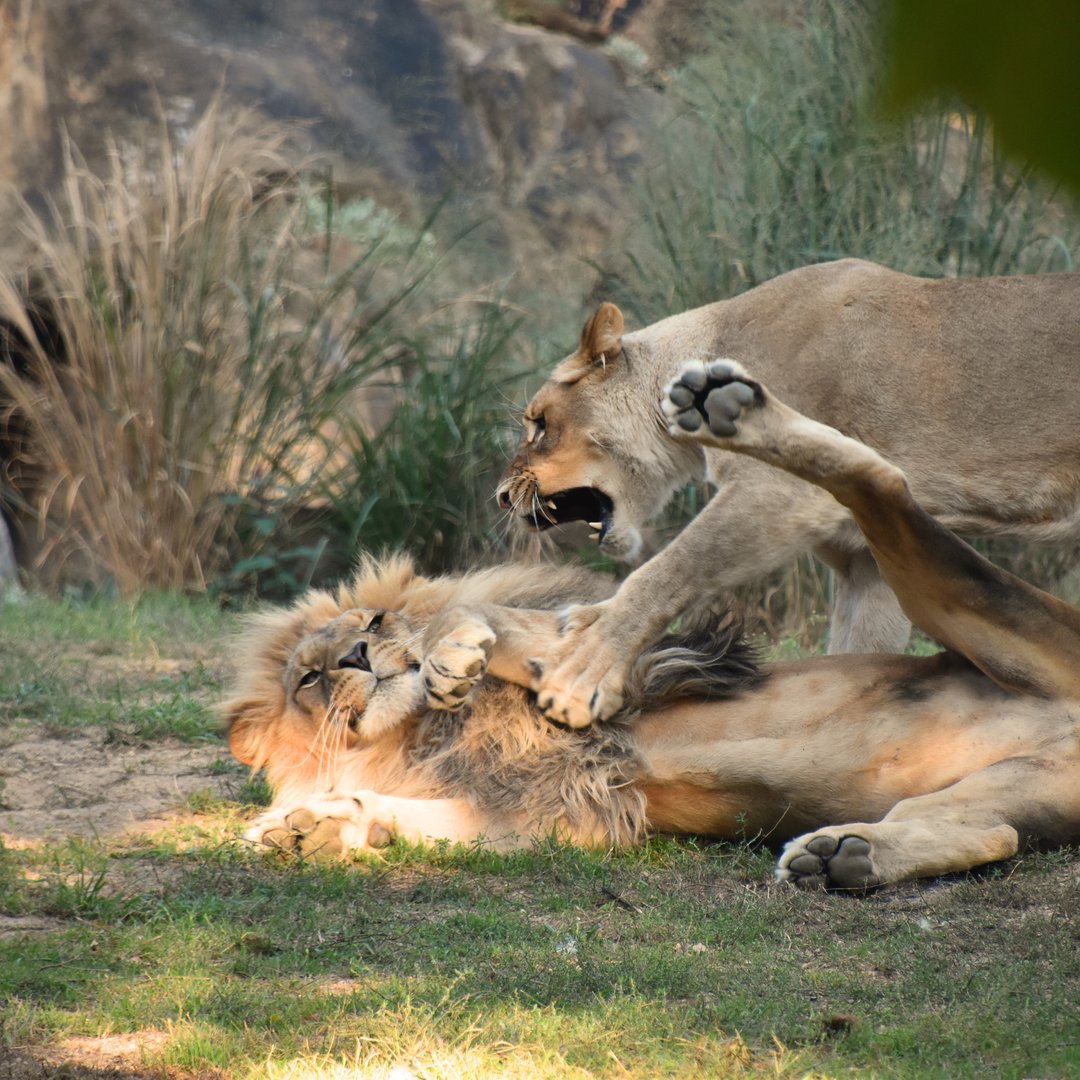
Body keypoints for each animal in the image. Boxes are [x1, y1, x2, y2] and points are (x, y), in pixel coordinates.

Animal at [227, 363, 1080, 888]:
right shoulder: (549, 812)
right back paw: (848, 857)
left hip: (970, 602)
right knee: (993, 833)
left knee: (882, 478)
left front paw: (453, 647)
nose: (359, 655)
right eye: (310, 677)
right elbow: (404, 813)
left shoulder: (647, 667)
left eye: (372, 619)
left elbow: (516, 621)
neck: (426, 733)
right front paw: (315, 828)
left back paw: (727, 404)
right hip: (1017, 787)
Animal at [498, 259, 1080, 728]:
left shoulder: (780, 495)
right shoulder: (865, 564)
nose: (503, 495)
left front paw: (583, 668)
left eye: (538, 424)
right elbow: (854, 656)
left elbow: (666, 571)